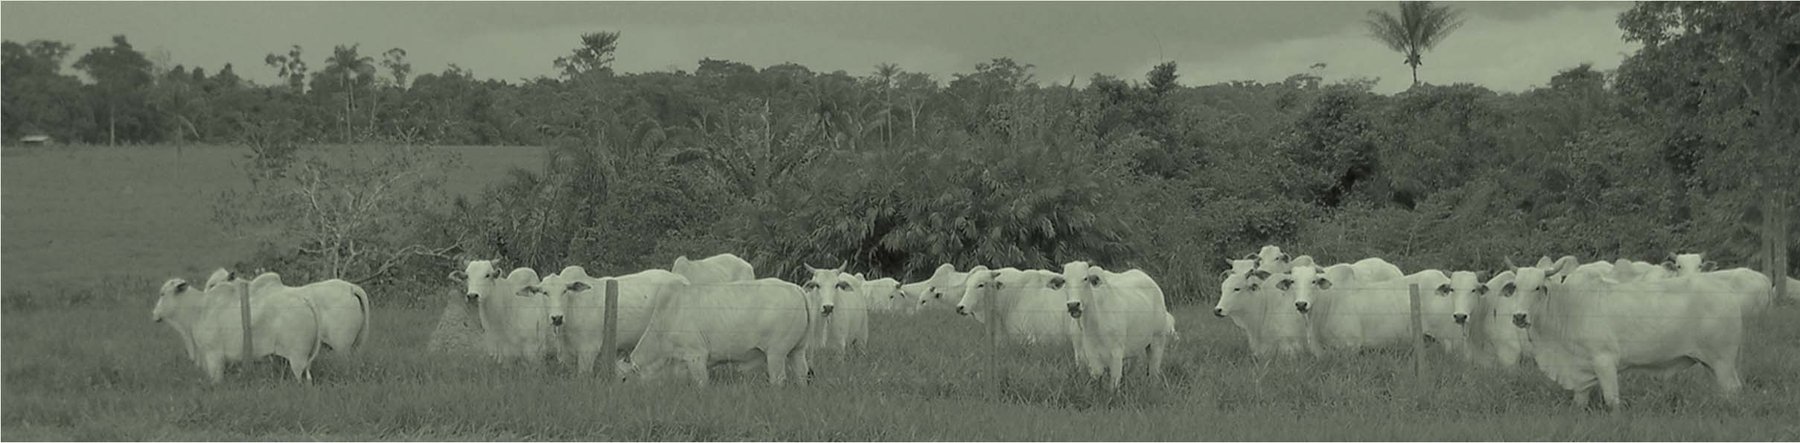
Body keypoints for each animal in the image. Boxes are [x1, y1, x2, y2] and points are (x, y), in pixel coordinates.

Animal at [153, 276, 324, 384]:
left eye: (162, 294)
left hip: (297, 358)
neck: (198, 311)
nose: (154, 314)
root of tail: (304, 300)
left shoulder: (213, 355)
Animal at [533, 266, 688, 375]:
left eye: (565, 291)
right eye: (544, 293)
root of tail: (682, 279)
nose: (557, 318)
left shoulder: (588, 350)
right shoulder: (566, 355)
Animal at [616, 278, 817, 386]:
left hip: (776, 353)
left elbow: (701, 383)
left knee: (779, 380)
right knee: (802, 374)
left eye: (624, 379)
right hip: (797, 351)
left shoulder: (696, 356)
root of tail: (796, 289)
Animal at [1058, 261, 1174, 391]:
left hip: (1157, 341)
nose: (1073, 305)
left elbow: (1113, 385)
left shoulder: (1116, 353)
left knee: (1154, 371)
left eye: (1085, 278)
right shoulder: (1085, 355)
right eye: (1064, 280)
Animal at [1507, 260, 1747, 410]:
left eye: (1538, 287)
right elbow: (1579, 402)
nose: (1519, 316)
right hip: (1710, 364)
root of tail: (1727, 292)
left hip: (1723, 361)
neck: (1569, 307)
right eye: (1516, 287)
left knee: (1733, 390)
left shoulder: (1605, 361)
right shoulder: (1580, 372)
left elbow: (1612, 401)